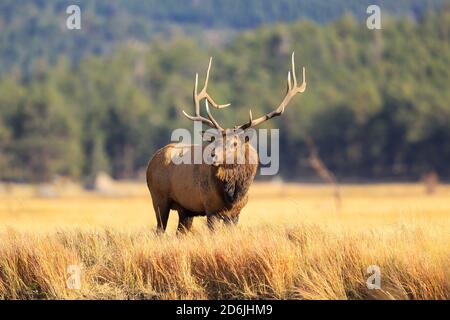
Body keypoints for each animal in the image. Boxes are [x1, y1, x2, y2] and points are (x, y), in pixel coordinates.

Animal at [147, 52, 306, 232]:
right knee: (159, 230)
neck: (233, 195)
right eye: (215, 141)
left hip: (185, 209)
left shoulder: (236, 213)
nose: (213, 156)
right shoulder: (211, 208)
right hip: (158, 198)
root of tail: (150, 163)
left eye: (235, 143)